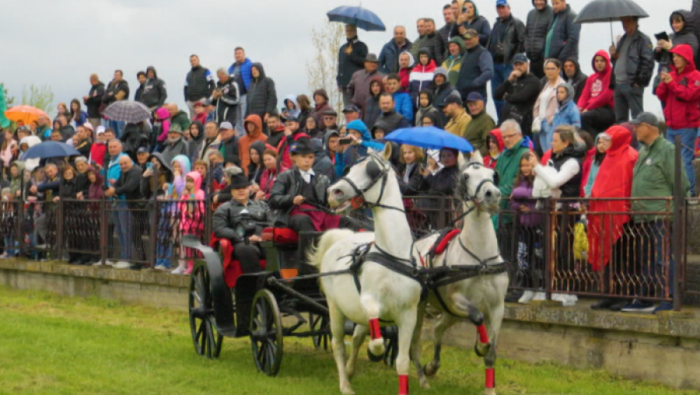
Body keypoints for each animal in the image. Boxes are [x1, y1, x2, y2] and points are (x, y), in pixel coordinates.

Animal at [308, 146, 424, 395]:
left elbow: (402, 362)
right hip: (335, 308)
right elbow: (377, 341)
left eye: (371, 170)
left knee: (357, 336)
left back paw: (350, 370)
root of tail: (343, 237)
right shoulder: (368, 302)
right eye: (351, 167)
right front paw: (375, 352)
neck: (393, 254)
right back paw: (345, 384)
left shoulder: (408, 315)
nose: (333, 191)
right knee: (338, 343)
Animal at [410, 152, 508, 395]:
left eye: (493, 173)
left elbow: (492, 354)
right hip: (421, 307)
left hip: (451, 313)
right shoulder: (457, 300)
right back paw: (422, 377)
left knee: (437, 328)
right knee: (414, 342)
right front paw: (481, 344)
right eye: (466, 176)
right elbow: (478, 316)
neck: (481, 260)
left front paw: (490, 389)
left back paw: (432, 367)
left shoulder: (497, 308)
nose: (492, 194)